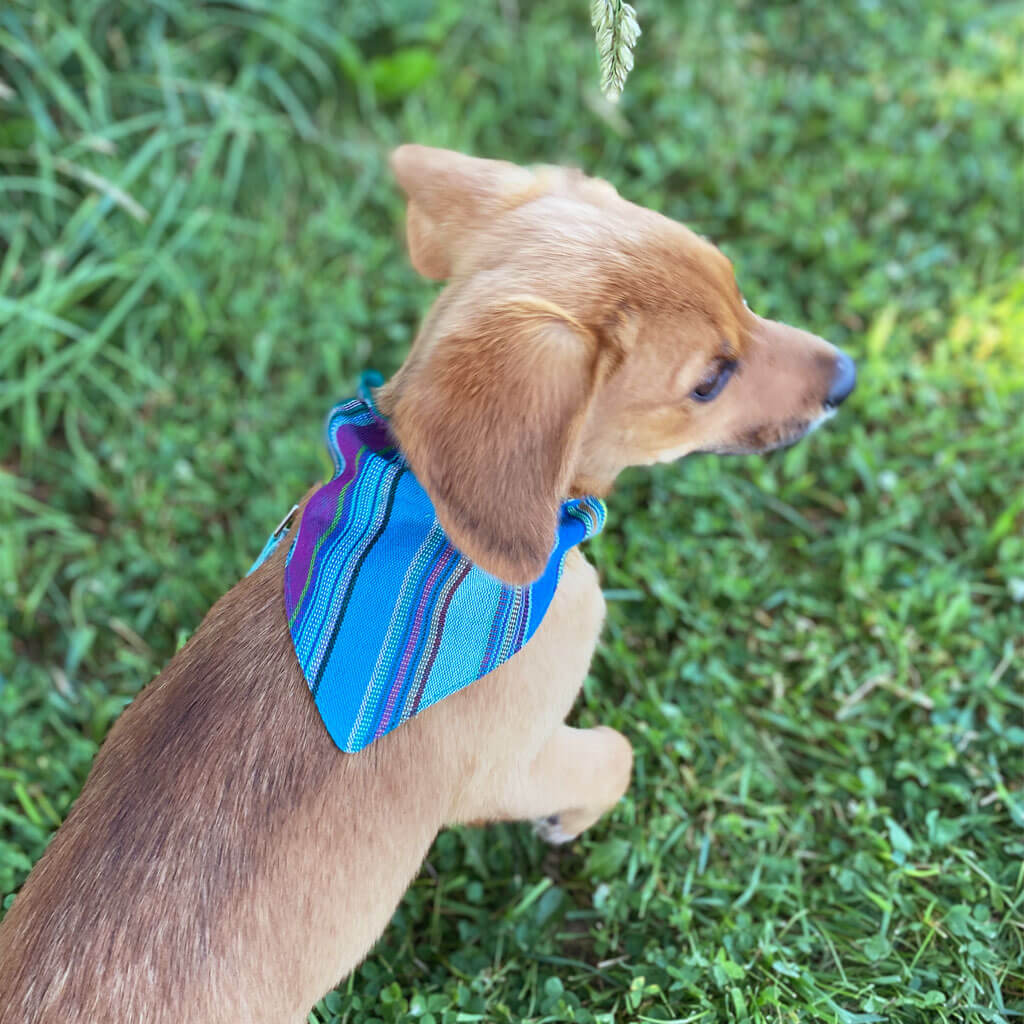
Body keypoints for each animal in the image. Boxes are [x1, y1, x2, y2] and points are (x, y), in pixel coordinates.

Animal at [0, 146, 856, 1024]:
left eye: (740, 290)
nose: (848, 378)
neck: (419, 524)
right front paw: (570, 821)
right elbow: (613, 755)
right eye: (709, 382)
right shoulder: (517, 763)